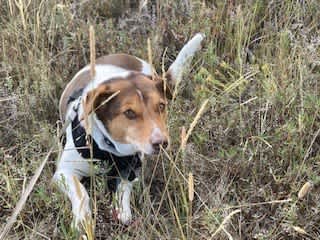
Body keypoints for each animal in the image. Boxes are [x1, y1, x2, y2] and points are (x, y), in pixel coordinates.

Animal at [52, 32, 202, 231]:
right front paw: (82, 220)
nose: (161, 143)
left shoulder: (131, 168)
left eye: (161, 106)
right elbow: (81, 193)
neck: (108, 150)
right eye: (129, 112)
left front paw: (122, 210)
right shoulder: (64, 172)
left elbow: (124, 189)